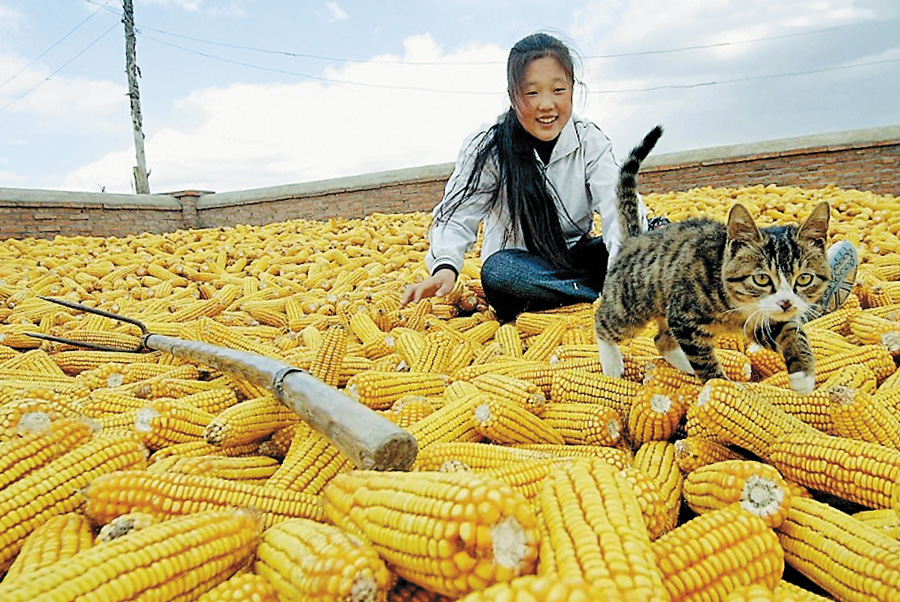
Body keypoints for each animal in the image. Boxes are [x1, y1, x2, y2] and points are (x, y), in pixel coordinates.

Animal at [596, 124, 832, 392]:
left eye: (804, 278)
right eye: (761, 279)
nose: (786, 303)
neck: (736, 303)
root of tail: (634, 239)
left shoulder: (760, 318)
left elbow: (791, 330)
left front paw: (803, 373)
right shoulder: (684, 318)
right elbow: (704, 360)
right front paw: (718, 385)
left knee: (661, 338)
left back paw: (683, 365)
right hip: (630, 307)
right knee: (604, 323)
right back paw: (611, 362)